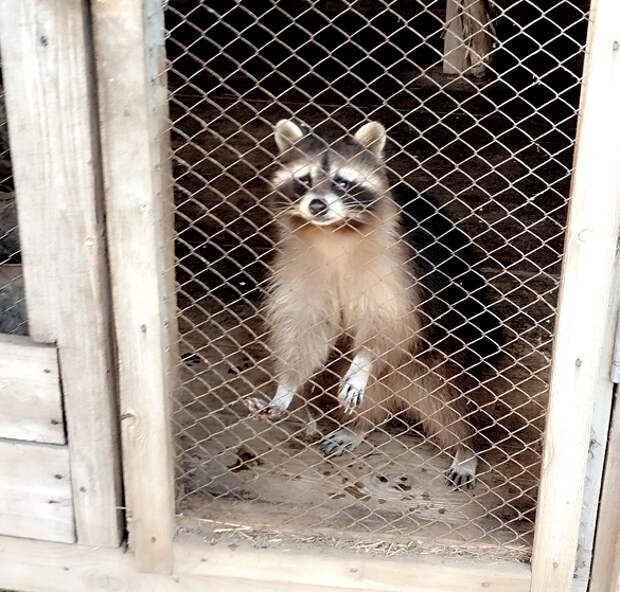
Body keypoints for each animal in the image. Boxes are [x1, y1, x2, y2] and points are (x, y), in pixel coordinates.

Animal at [245, 118, 502, 488]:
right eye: (304, 179)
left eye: (341, 181)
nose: (317, 206)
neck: (332, 233)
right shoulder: (301, 260)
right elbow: (305, 323)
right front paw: (286, 386)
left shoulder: (395, 262)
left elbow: (388, 321)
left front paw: (363, 361)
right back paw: (359, 425)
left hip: (447, 345)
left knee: (445, 395)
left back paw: (465, 447)